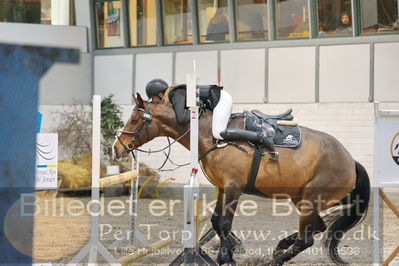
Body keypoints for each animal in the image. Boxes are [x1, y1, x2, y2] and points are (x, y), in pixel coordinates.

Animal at [113, 90, 372, 264]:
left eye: (134, 120)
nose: (117, 148)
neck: (211, 135)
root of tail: (351, 161)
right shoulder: (222, 188)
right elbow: (216, 221)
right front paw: (225, 253)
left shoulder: (233, 188)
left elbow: (225, 223)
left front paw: (227, 256)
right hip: (303, 198)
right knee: (317, 227)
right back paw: (279, 247)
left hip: (310, 198)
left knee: (306, 238)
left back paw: (272, 261)